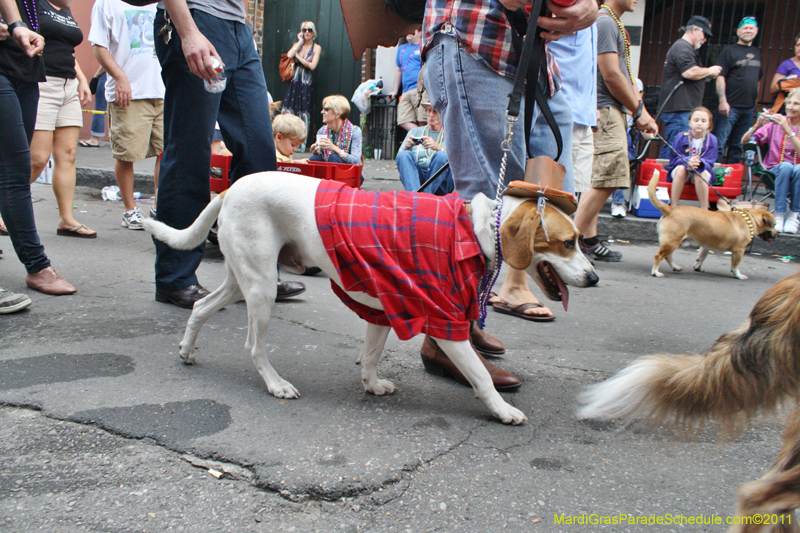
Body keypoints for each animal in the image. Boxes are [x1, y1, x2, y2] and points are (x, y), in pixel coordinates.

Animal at [144, 171, 596, 424]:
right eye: (568, 243)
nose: (593, 277)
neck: (474, 229)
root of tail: (231, 188)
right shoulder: (446, 324)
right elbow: (481, 376)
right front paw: (501, 410)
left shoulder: (385, 308)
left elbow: (373, 354)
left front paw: (371, 383)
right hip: (261, 287)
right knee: (254, 346)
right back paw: (275, 384)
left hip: (243, 280)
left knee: (201, 306)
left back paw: (187, 349)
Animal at [648, 169, 776, 278]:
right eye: (774, 225)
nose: (777, 234)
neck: (749, 218)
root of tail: (671, 209)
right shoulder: (739, 250)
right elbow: (735, 265)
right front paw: (738, 275)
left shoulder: (706, 245)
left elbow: (702, 256)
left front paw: (698, 267)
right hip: (672, 242)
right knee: (659, 256)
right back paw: (655, 272)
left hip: (672, 242)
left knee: (668, 256)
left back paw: (676, 267)